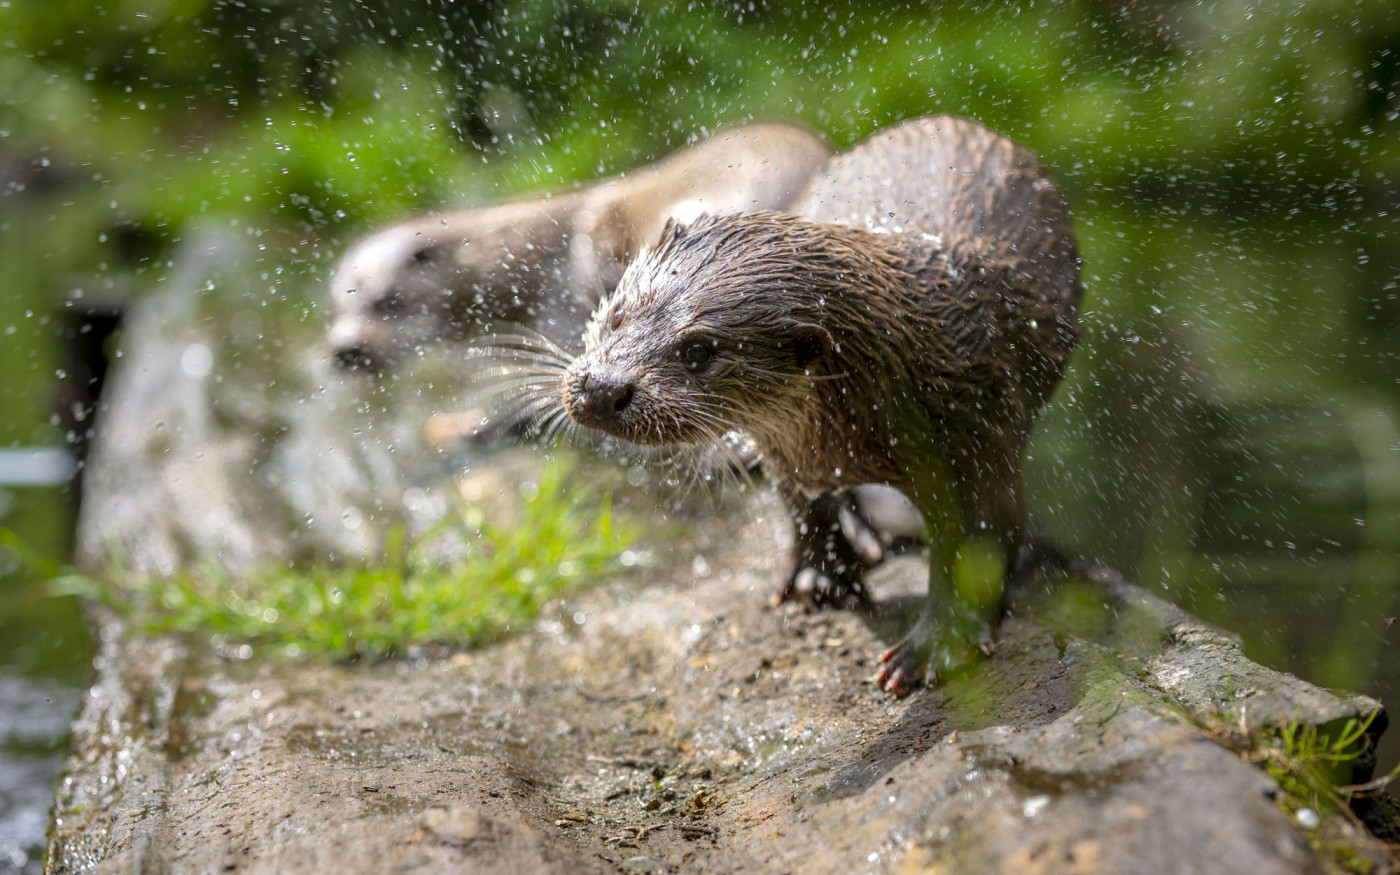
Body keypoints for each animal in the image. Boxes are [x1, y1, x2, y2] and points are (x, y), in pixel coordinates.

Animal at [546, 115, 1081, 693]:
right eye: (617, 315)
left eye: (698, 350)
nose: (603, 388)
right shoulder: (790, 454)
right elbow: (805, 509)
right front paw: (817, 578)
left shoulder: (975, 436)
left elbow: (977, 548)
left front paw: (935, 647)